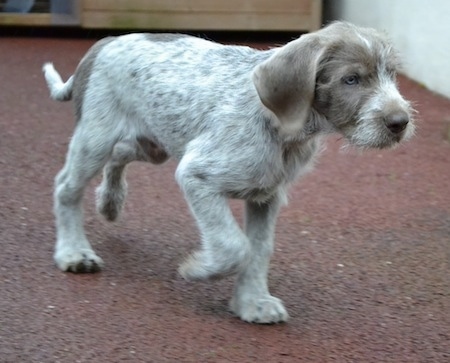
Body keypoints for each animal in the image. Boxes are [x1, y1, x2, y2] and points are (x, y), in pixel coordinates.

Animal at [43, 22, 414, 324]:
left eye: (392, 75)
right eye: (351, 79)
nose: (400, 122)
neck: (281, 128)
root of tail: (106, 41)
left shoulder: (267, 197)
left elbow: (259, 250)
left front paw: (252, 302)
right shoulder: (196, 175)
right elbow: (234, 246)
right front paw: (198, 268)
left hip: (153, 145)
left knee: (119, 157)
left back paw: (110, 202)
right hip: (96, 138)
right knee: (65, 187)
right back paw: (74, 252)